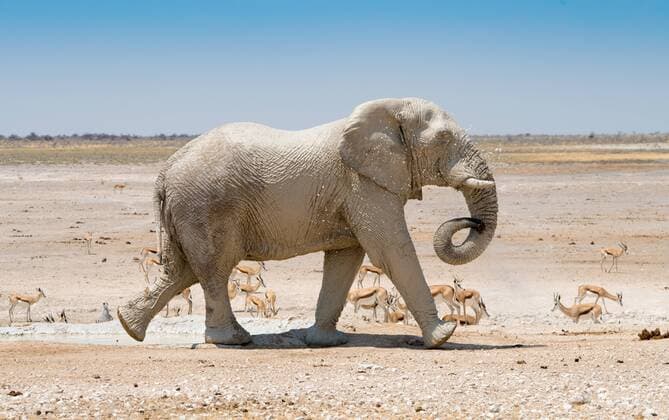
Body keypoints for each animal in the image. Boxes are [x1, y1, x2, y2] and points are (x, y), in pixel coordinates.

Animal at [117, 97, 498, 348]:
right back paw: (234, 339)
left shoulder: (357, 190)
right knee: (214, 269)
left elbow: (346, 258)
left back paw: (129, 325)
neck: (388, 110)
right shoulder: (364, 183)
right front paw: (443, 336)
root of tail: (165, 170)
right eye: (444, 139)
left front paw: (326, 341)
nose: (473, 223)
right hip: (206, 206)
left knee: (181, 271)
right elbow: (390, 249)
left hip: (187, 211)